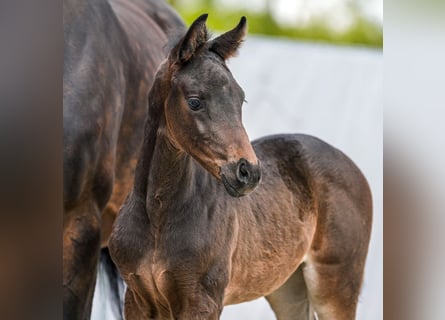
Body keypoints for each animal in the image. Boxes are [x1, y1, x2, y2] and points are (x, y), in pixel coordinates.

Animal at [108, 13, 372, 318]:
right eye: (195, 101)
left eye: (241, 98)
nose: (249, 172)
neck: (157, 217)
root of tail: (352, 166)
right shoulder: (138, 299)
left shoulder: (202, 301)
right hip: (287, 286)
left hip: (335, 286)